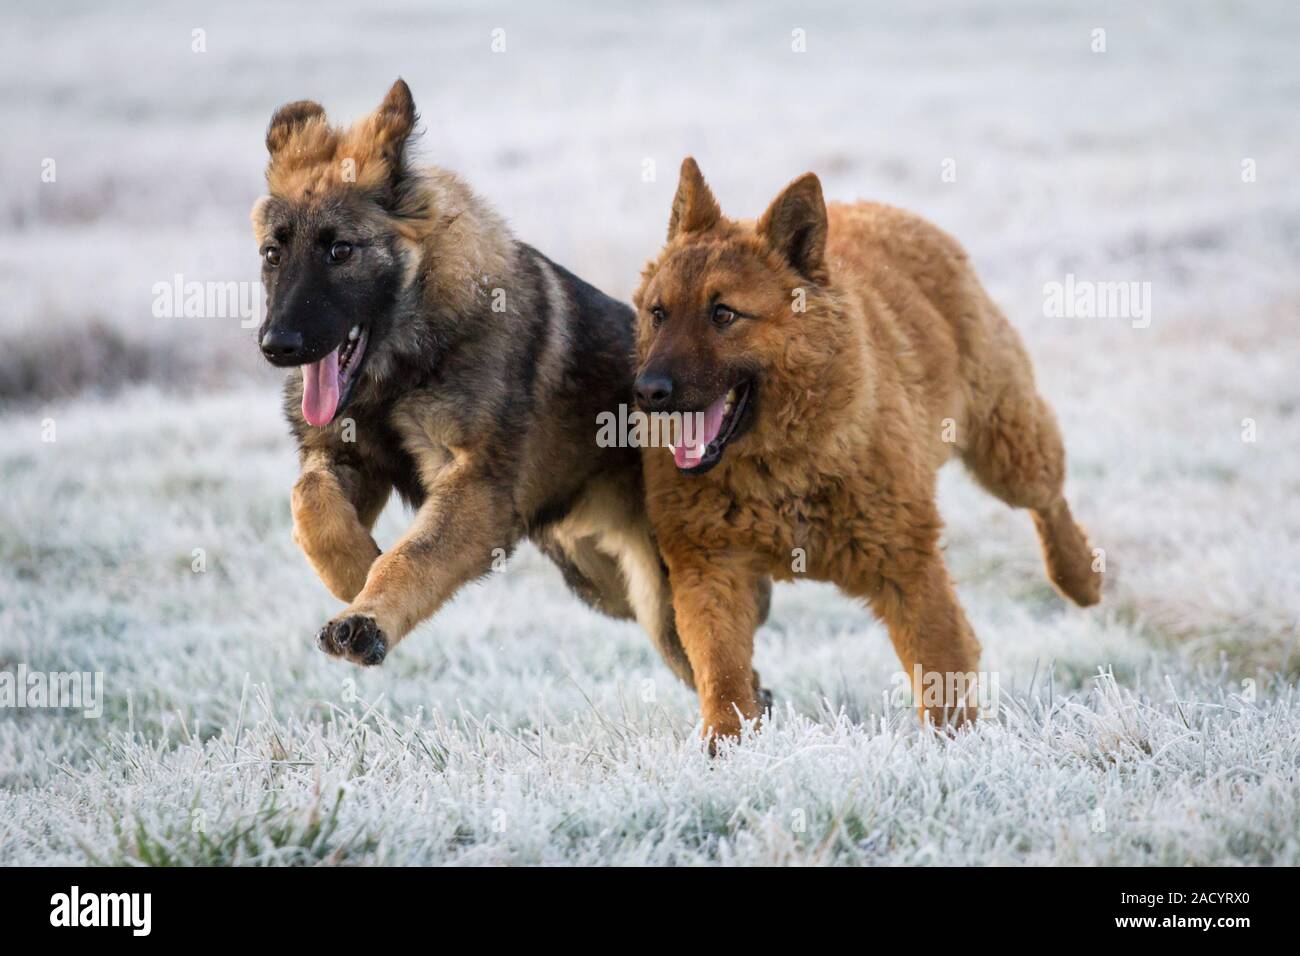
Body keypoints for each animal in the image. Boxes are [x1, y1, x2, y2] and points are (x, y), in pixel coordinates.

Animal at [250, 78, 769, 686]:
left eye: (340, 251)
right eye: (272, 253)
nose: (276, 345)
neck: (411, 359)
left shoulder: (477, 485)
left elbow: (414, 556)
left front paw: (366, 613)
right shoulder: (347, 455)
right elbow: (308, 499)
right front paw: (352, 571)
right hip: (609, 584)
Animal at [629, 160, 1097, 743]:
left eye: (723, 315)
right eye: (658, 313)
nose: (647, 391)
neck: (780, 470)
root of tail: (884, 208)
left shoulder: (908, 566)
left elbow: (942, 670)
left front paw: (957, 751)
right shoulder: (711, 570)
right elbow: (724, 678)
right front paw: (725, 748)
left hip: (1005, 444)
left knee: (1048, 498)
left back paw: (1080, 576)